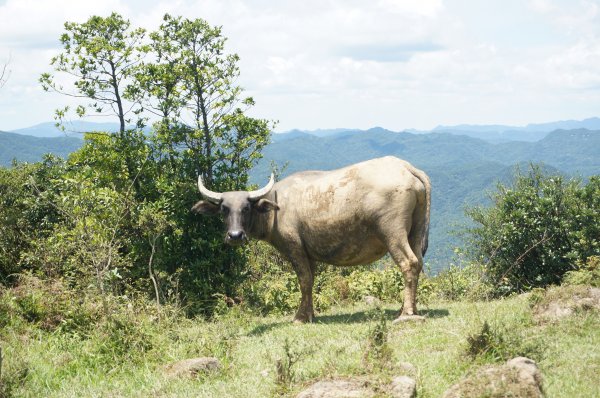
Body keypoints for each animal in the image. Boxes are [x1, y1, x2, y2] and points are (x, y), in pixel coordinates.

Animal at [192, 155, 432, 324]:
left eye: (246, 208)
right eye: (224, 209)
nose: (235, 235)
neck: (276, 210)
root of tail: (407, 168)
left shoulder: (294, 247)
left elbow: (304, 280)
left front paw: (300, 316)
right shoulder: (310, 253)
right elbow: (312, 280)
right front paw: (311, 313)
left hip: (392, 232)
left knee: (409, 263)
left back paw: (406, 313)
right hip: (416, 231)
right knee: (419, 262)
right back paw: (411, 308)